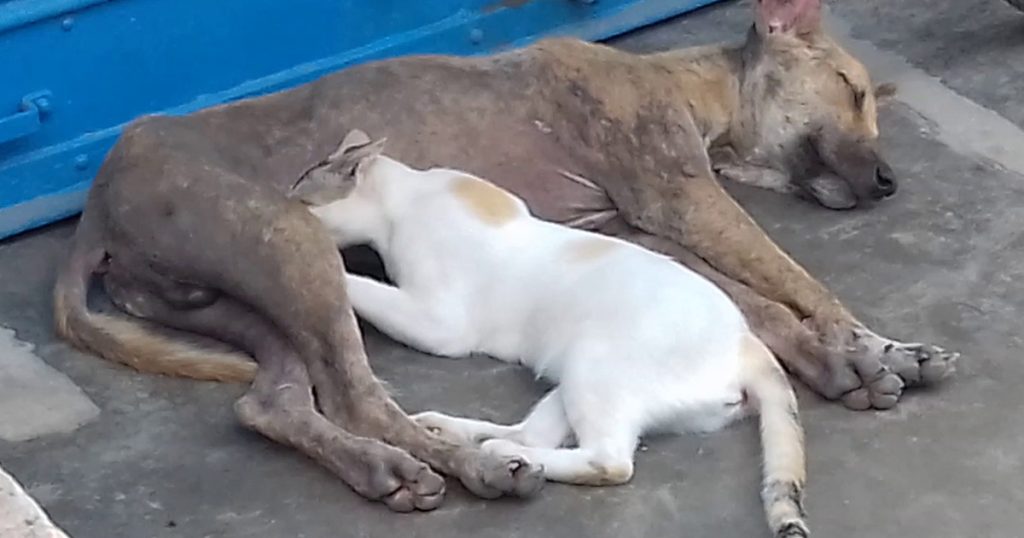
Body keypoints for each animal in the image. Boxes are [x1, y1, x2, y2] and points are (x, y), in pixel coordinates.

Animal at [292, 131, 811, 536]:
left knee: (609, 460)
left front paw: (329, 267)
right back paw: (463, 435)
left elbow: (362, 287)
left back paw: (498, 451)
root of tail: (747, 342)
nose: (284, 206)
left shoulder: (442, 324)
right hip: (575, 373)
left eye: (299, 196)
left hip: (596, 363)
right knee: (534, 433)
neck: (409, 193)